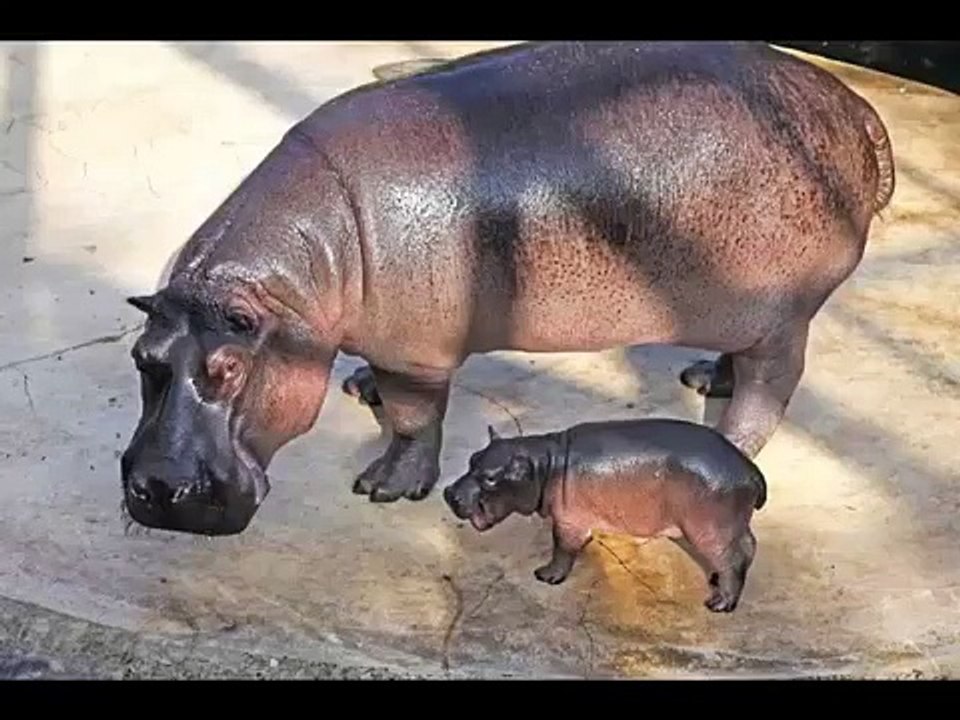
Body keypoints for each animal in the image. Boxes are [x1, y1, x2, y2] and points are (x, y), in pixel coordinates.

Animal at [121, 41, 894, 535]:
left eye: (229, 369)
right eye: (142, 359)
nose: (156, 489)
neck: (296, 283)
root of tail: (857, 110)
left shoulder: (417, 352)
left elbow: (414, 418)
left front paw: (383, 488)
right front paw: (360, 389)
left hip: (787, 313)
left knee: (771, 389)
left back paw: (729, 434)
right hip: (748, 314)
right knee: (743, 362)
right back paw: (706, 378)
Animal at [444, 420, 767, 612]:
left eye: (490, 479)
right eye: (472, 459)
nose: (448, 492)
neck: (544, 464)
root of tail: (750, 470)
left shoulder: (567, 521)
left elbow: (561, 548)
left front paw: (546, 576)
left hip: (711, 529)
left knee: (735, 557)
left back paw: (719, 604)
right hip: (731, 526)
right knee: (746, 548)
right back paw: (715, 579)